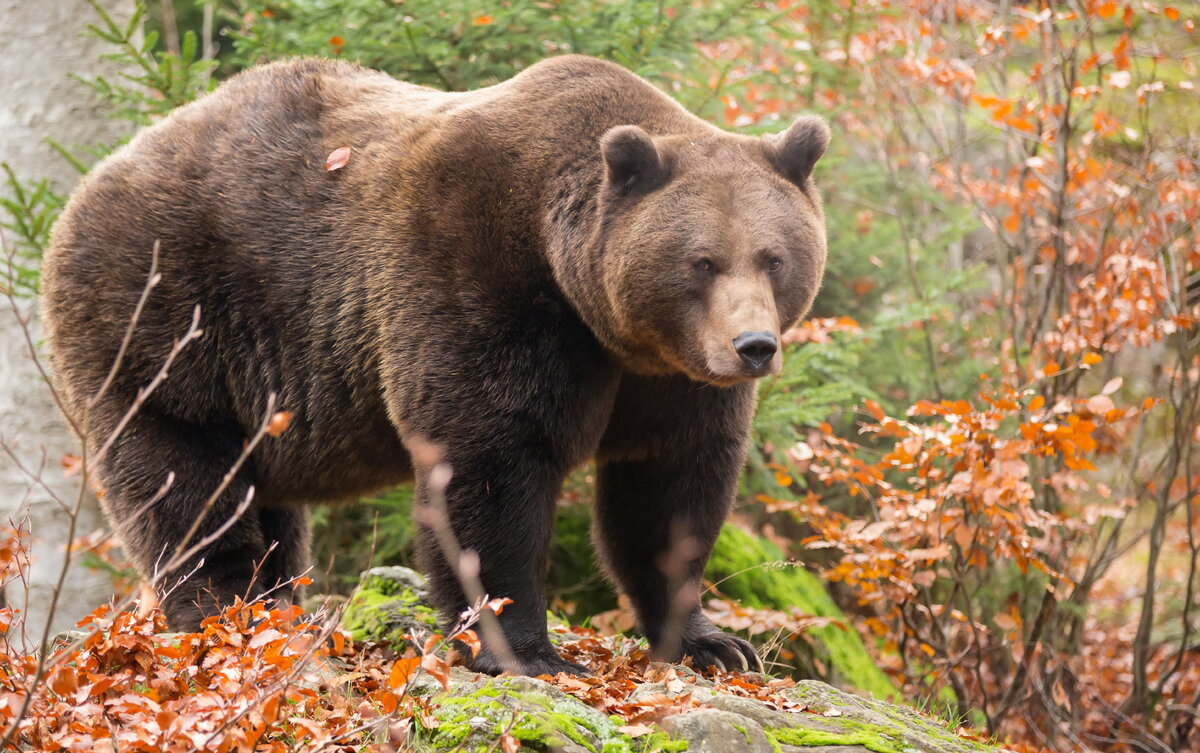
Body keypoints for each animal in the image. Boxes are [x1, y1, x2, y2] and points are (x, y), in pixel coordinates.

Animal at [37, 54, 825, 676]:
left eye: (774, 257)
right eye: (702, 261)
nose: (753, 345)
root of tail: (87, 185)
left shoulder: (667, 378)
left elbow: (669, 488)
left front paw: (713, 642)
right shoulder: (477, 278)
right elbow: (489, 461)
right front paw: (525, 650)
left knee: (267, 501)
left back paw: (280, 608)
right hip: (166, 314)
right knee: (183, 475)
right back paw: (227, 613)